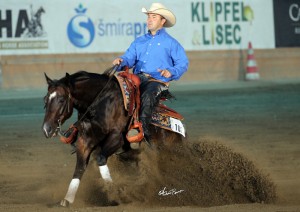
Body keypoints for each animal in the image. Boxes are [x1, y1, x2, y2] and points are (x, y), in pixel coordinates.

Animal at [41, 68, 185, 207]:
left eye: (61, 99)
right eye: (45, 100)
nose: (47, 129)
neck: (101, 103)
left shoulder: (117, 138)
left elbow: (101, 159)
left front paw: (115, 194)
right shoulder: (84, 141)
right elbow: (80, 167)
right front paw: (67, 199)